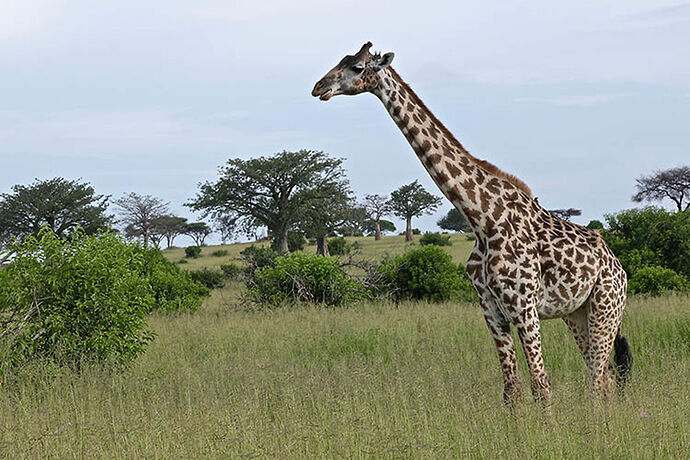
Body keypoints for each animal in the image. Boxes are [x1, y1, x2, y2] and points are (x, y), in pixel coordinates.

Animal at [312, 41, 628, 404]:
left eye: (357, 67)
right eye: (342, 60)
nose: (318, 87)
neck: (482, 219)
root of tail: (620, 268)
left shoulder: (524, 306)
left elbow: (541, 386)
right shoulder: (490, 308)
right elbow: (511, 389)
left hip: (606, 308)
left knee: (599, 379)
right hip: (577, 313)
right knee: (604, 377)